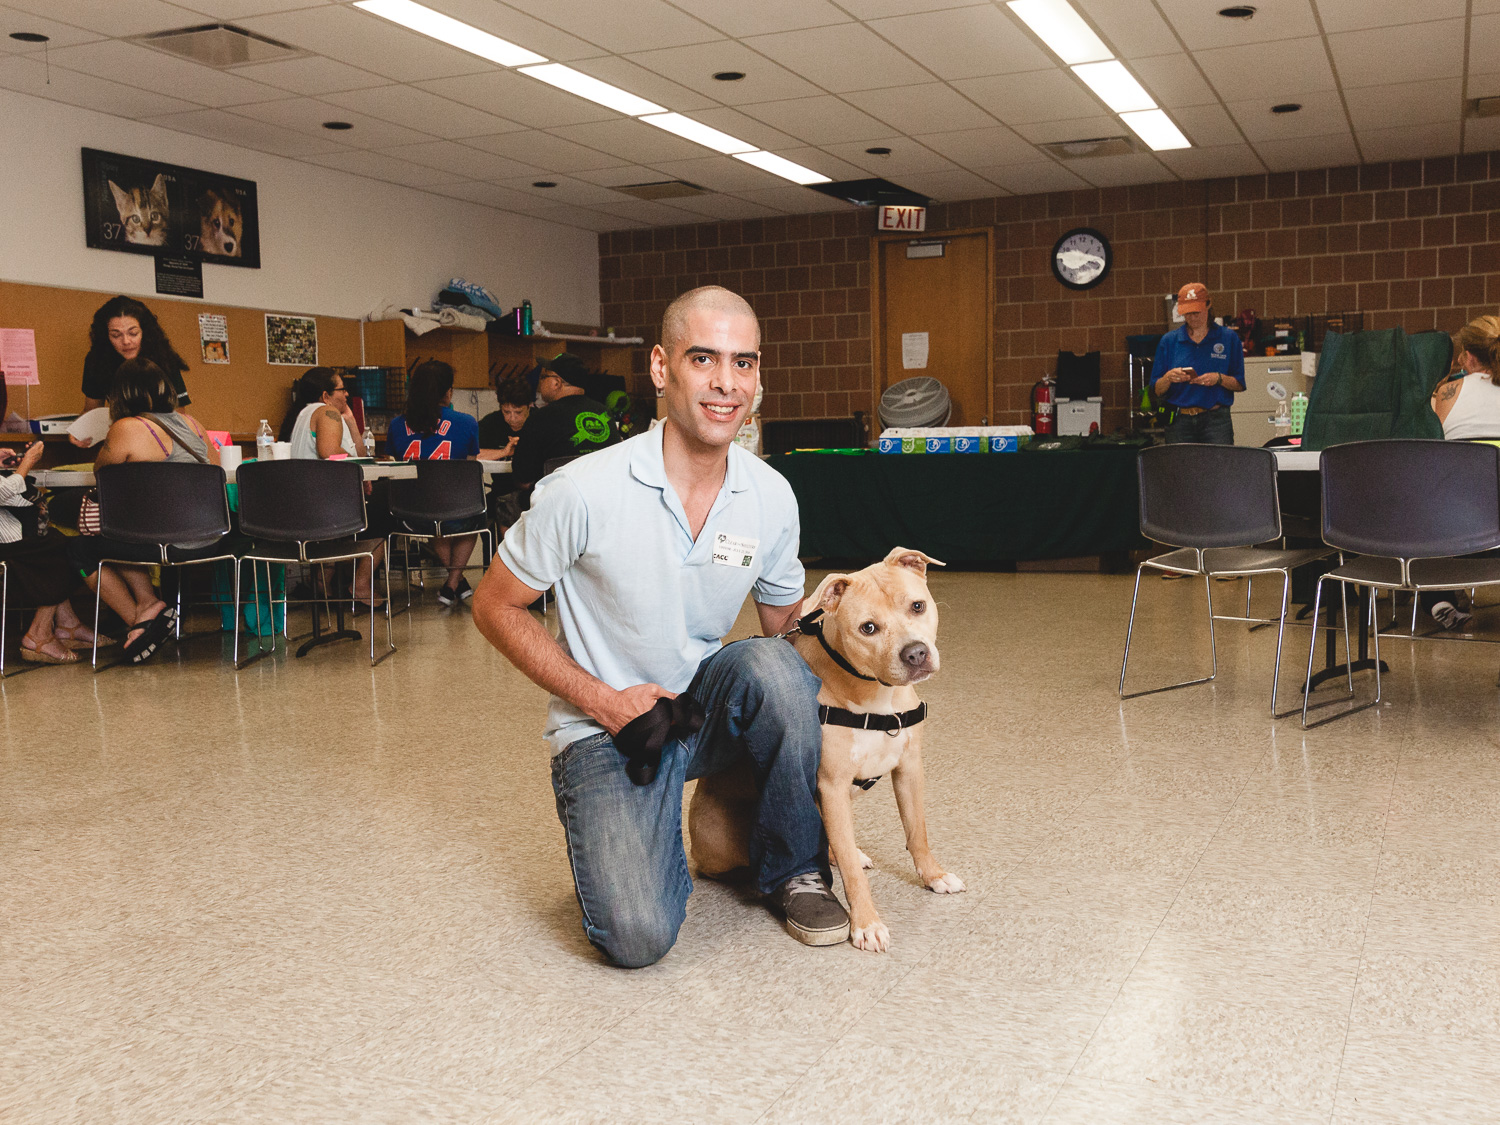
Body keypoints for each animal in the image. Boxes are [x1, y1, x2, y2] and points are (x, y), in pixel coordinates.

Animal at [687, 546, 966, 954]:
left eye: (917, 606)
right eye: (868, 628)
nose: (915, 654)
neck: (874, 693)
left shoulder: (909, 769)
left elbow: (917, 833)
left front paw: (934, 876)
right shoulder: (832, 785)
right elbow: (849, 870)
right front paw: (866, 923)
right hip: (724, 838)